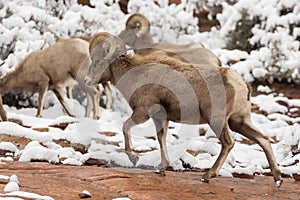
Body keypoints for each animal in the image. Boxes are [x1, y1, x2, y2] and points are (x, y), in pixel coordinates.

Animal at [85, 32, 282, 188]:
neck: (136, 75)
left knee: (228, 143)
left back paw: (207, 176)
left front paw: (134, 158)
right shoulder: (161, 118)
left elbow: (126, 127)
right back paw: (278, 179)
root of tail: (241, 84)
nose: (87, 81)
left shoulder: (143, 112)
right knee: (263, 139)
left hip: (217, 120)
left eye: (97, 61)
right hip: (238, 121)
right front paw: (161, 168)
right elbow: (161, 138)